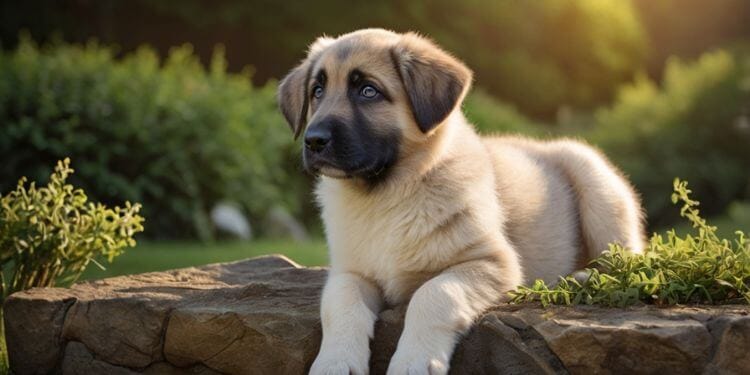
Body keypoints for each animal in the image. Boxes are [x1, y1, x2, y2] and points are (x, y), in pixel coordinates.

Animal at [280, 28, 644, 375]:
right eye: (317, 91)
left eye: (368, 91)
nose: (313, 141)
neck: (387, 195)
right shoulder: (350, 271)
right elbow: (339, 306)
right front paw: (335, 361)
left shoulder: (492, 262)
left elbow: (434, 294)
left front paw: (415, 360)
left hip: (595, 181)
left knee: (625, 260)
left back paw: (581, 277)